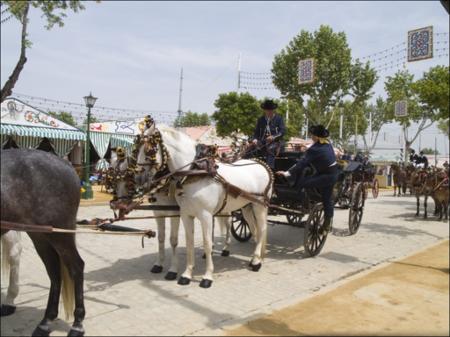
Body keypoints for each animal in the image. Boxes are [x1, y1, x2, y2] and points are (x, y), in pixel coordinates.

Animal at [1, 150, 85, 336]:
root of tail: (66, 164)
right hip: (40, 234)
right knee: (54, 273)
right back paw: (46, 322)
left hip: (61, 235)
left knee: (76, 268)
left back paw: (77, 324)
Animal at [136, 124, 270, 288]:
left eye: (149, 150)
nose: (138, 179)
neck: (195, 171)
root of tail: (261, 164)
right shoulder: (184, 214)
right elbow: (188, 242)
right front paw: (186, 274)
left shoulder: (204, 215)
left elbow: (207, 243)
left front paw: (207, 277)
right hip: (246, 207)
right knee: (253, 228)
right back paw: (253, 257)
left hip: (260, 206)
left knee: (262, 229)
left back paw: (256, 261)